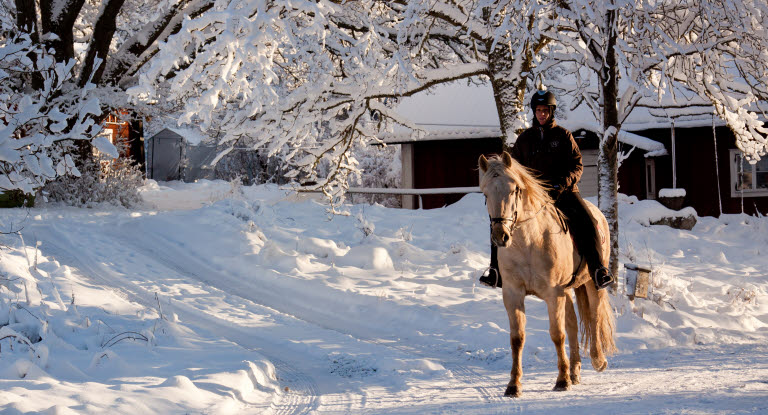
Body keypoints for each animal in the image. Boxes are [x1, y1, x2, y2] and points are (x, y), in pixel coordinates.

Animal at [480, 151, 616, 398]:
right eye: (485, 193)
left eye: (513, 190)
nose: (500, 236)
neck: (529, 241)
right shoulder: (513, 293)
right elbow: (517, 338)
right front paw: (513, 385)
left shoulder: (553, 293)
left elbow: (557, 334)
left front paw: (561, 381)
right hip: (567, 291)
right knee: (572, 323)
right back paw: (575, 371)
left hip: (591, 282)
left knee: (594, 316)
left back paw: (598, 361)